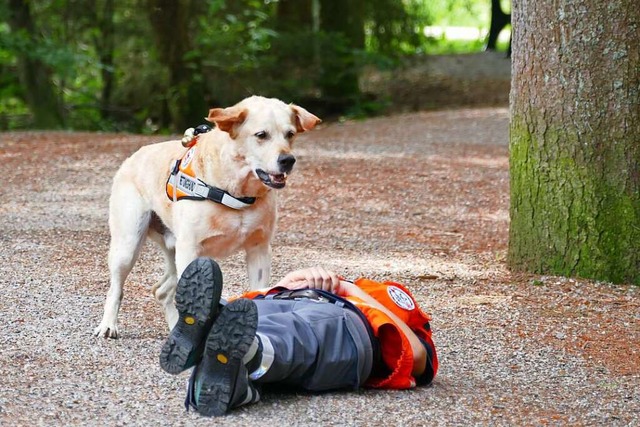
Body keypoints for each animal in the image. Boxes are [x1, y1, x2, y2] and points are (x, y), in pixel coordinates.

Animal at [94, 96, 320, 338]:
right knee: (117, 288)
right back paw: (109, 325)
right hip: (128, 246)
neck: (236, 193)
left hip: (173, 250)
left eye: (290, 134)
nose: (288, 160)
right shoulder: (190, 249)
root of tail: (134, 156)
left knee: (162, 291)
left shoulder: (259, 250)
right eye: (261, 135)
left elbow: (259, 291)